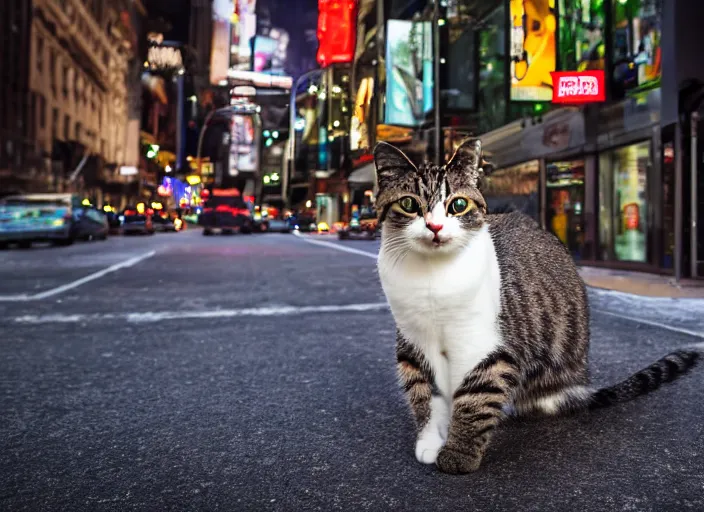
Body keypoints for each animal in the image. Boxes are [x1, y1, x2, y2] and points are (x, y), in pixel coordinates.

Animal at [374, 138, 700, 474]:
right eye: (409, 204)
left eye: (458, 205)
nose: (435, 226)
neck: (433, 278)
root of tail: (578, 388)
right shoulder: (415, 344)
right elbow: (425, 395)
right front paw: (430, 442)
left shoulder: (484, 346)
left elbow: (475, 399)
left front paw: (459, 454)